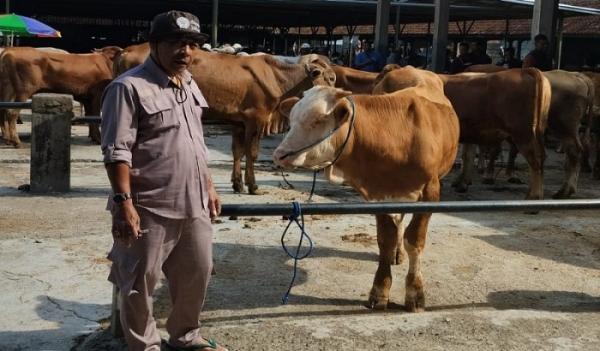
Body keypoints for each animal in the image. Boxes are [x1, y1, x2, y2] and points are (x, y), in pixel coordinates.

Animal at [112, 42, 332, 195]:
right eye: (329, 78)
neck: (279, 79)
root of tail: (127, 50)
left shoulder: (239, 122)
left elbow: (237, 152)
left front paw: (237, 183)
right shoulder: (256, 119)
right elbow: (252, 153)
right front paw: (253, 185)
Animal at [274, 80, 460, 314]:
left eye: (317, 120)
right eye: (291, 120)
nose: (279, 154)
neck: (398, 136)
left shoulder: (430, 193)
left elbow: (415, 242)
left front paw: (415, 292)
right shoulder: (377, 195)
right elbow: (385, 241)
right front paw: (380, 291)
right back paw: (397, 253)